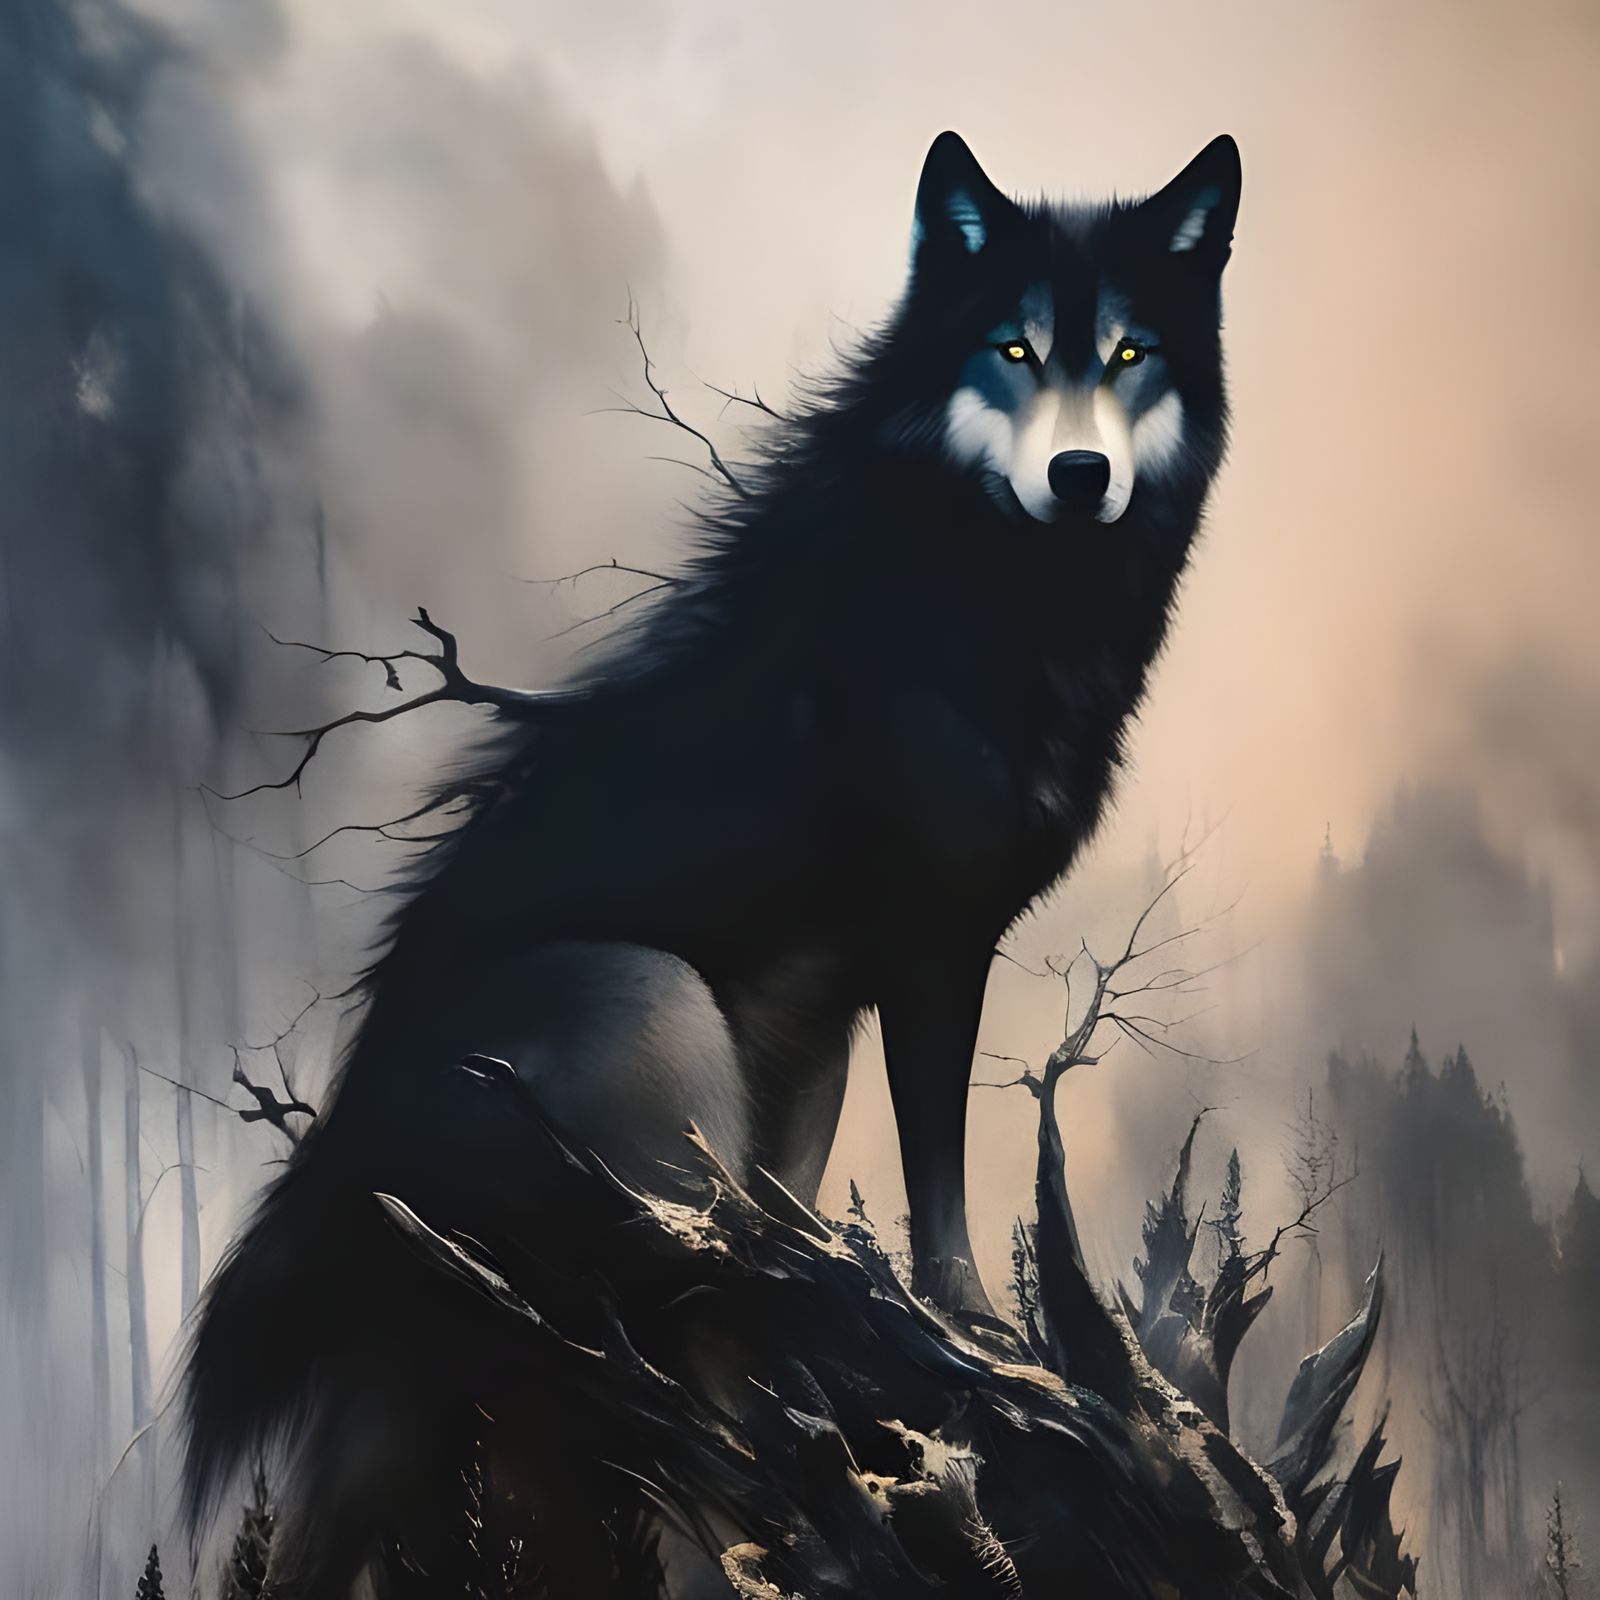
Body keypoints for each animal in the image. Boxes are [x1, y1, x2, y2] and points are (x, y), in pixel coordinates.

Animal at [185, 129, 1240, 1592]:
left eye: (1129, 352)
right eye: (1015, 351)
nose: (1079, 473)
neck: (988, 589)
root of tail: (340, 1153)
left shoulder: (846, 1021)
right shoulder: (930, 945)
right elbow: (939, 1185)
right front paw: (983, 1338)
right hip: (663, 1014)